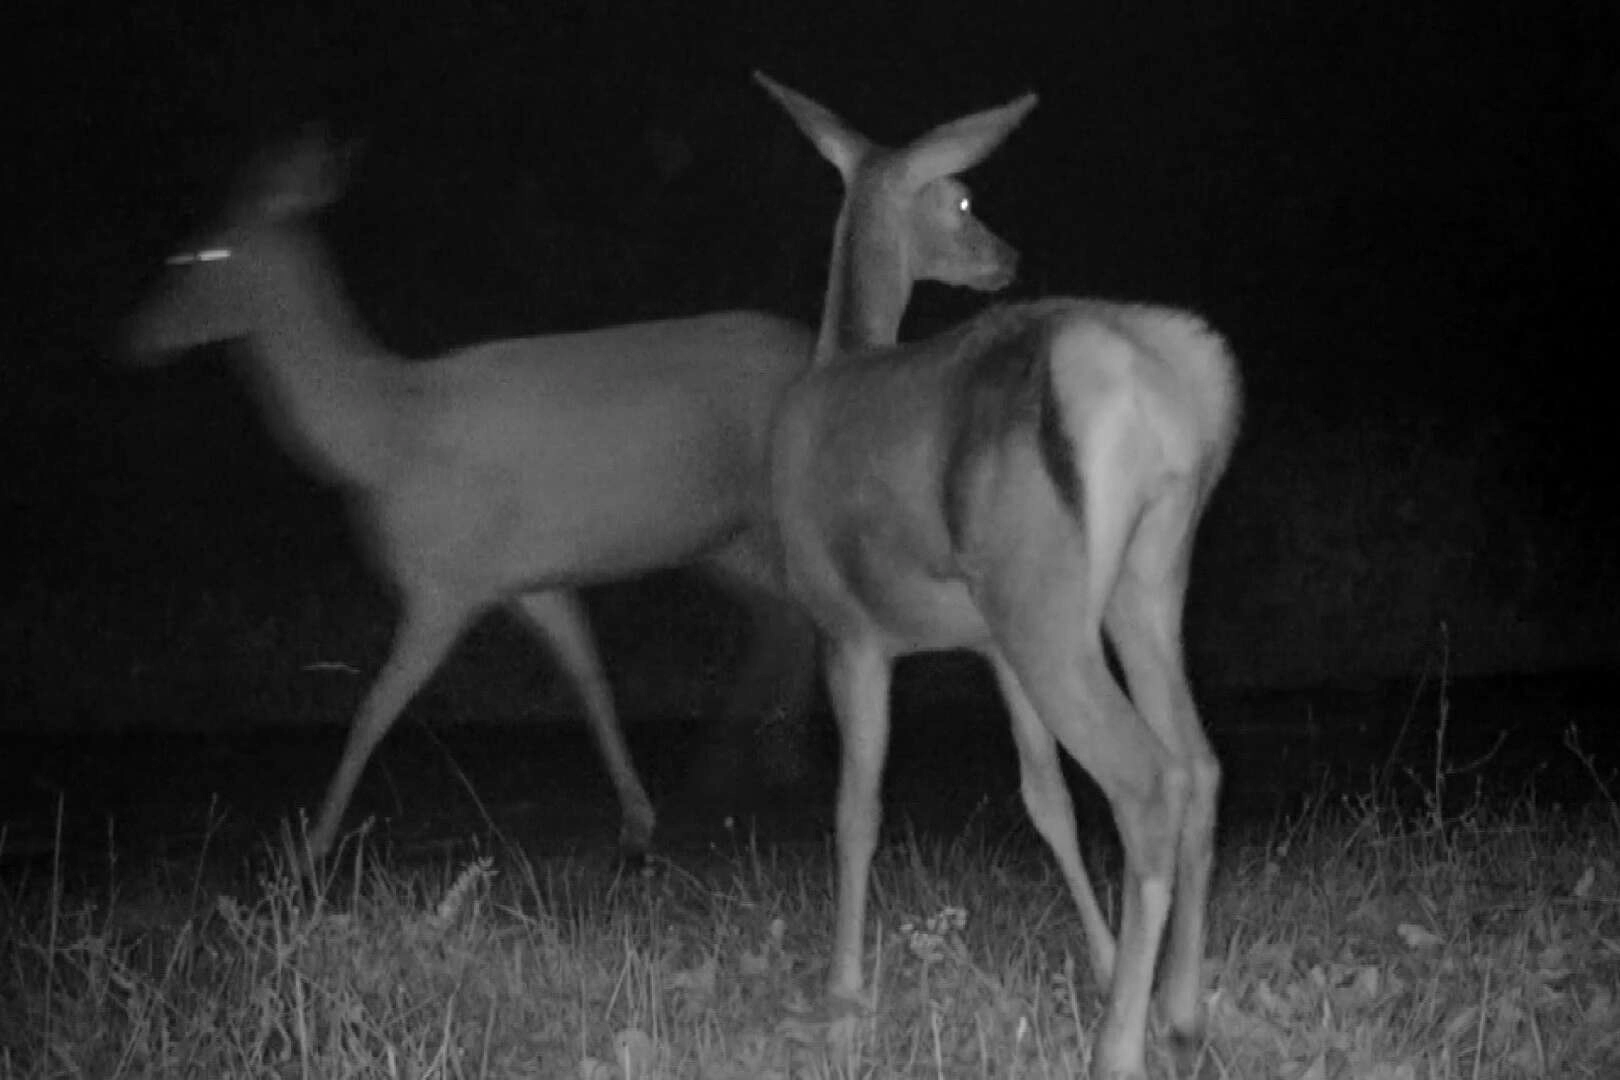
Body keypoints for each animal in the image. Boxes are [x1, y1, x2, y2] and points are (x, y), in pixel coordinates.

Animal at [123, 131, 822, 867]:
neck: (382, 437)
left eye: (203, 253)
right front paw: (637, 819)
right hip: (722, 539)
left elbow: (372, 707)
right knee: (783, 613)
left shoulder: (443, 584)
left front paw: (310, 843)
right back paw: (756, 760)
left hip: (777, 514)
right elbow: (592, 682)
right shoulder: (530, 579)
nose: (130, 338)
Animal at [754, 69, 1237, 1080]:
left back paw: (1119, 1048)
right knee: (1200, 762)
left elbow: (857, 806)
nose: (1007, 256)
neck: (838, 354)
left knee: (1148, 778)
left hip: (1043, 598)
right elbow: (1043, 796)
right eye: (968, 202)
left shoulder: (849, 627)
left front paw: (843, 999)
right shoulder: (988, 645)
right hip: (1139, 584)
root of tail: (1147, 377)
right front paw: (1104, 962)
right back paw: (1178, 1013)